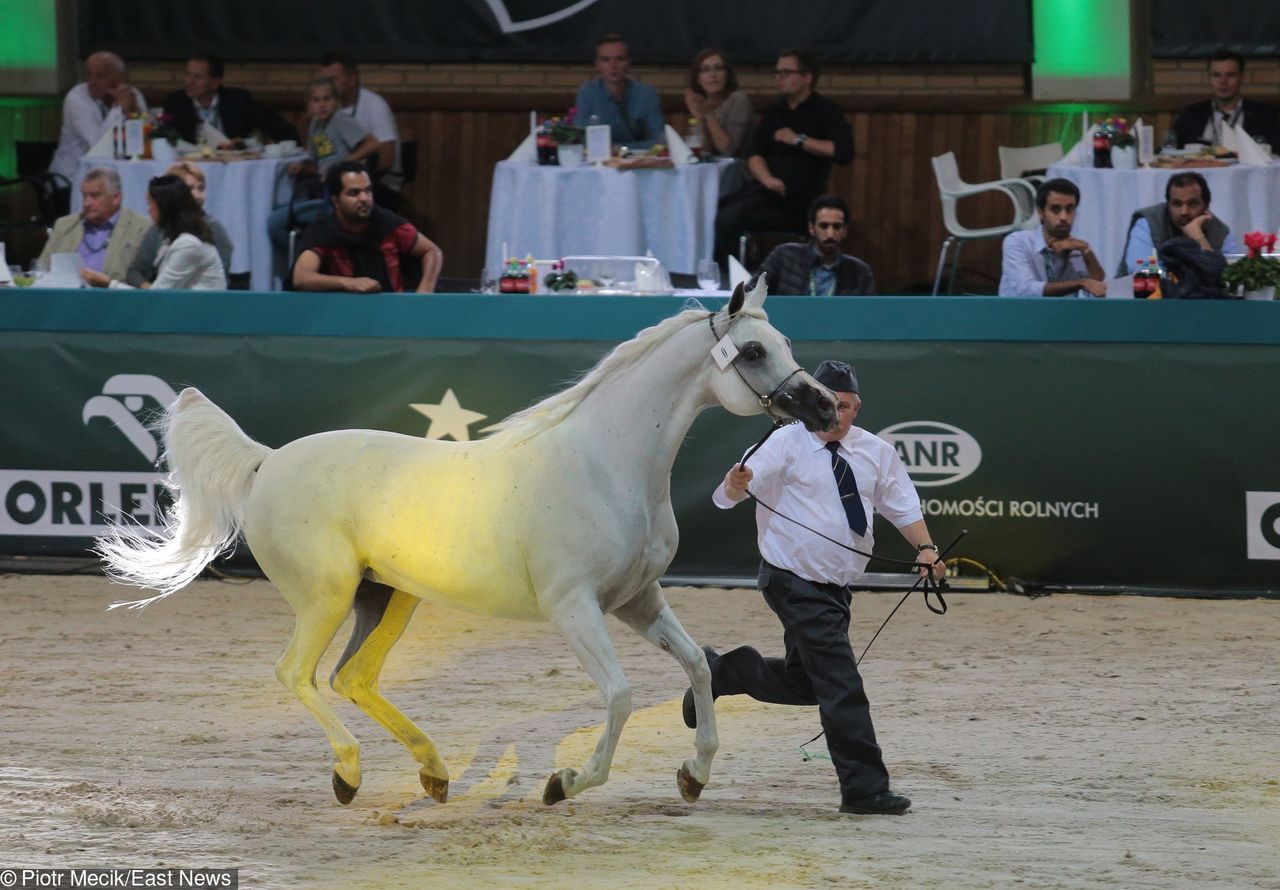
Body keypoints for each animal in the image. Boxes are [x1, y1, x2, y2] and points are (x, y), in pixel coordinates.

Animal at [102, 281, 839, 809]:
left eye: (782, 341)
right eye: (752, 352)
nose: (824, 406)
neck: (606, 464)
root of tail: (266, 461)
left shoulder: (638, 600)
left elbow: (699, 667)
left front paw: (693, 775)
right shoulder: (575, 608)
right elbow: (622, 696)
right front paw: (564, 783)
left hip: (385, 596)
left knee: (353, 677)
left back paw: (433, 775)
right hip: (325, 597)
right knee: (298, 675)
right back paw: (349, 773)